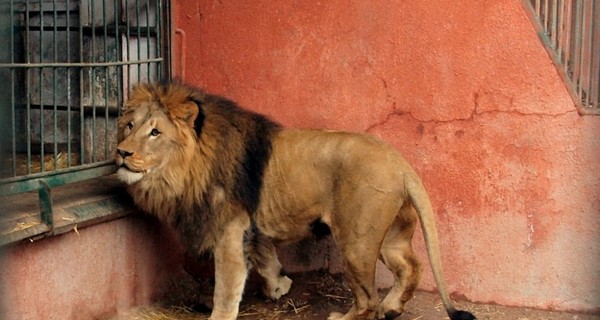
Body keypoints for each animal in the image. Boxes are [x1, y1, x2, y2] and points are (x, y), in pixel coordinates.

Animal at [115, 82, 476, 320]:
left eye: (155, 132)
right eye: (129, 126)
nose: (121, 152)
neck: (183, 170)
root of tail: (401, 164)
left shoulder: (229, 230)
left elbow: (227, 287)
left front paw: (222, 313)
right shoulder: (250, 228)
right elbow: (265, 257)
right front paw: (280, 285)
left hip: (356, 243)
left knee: (366, 300)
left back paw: (346, 317)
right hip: (390, 236)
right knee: (411, 268)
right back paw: (392, 308)